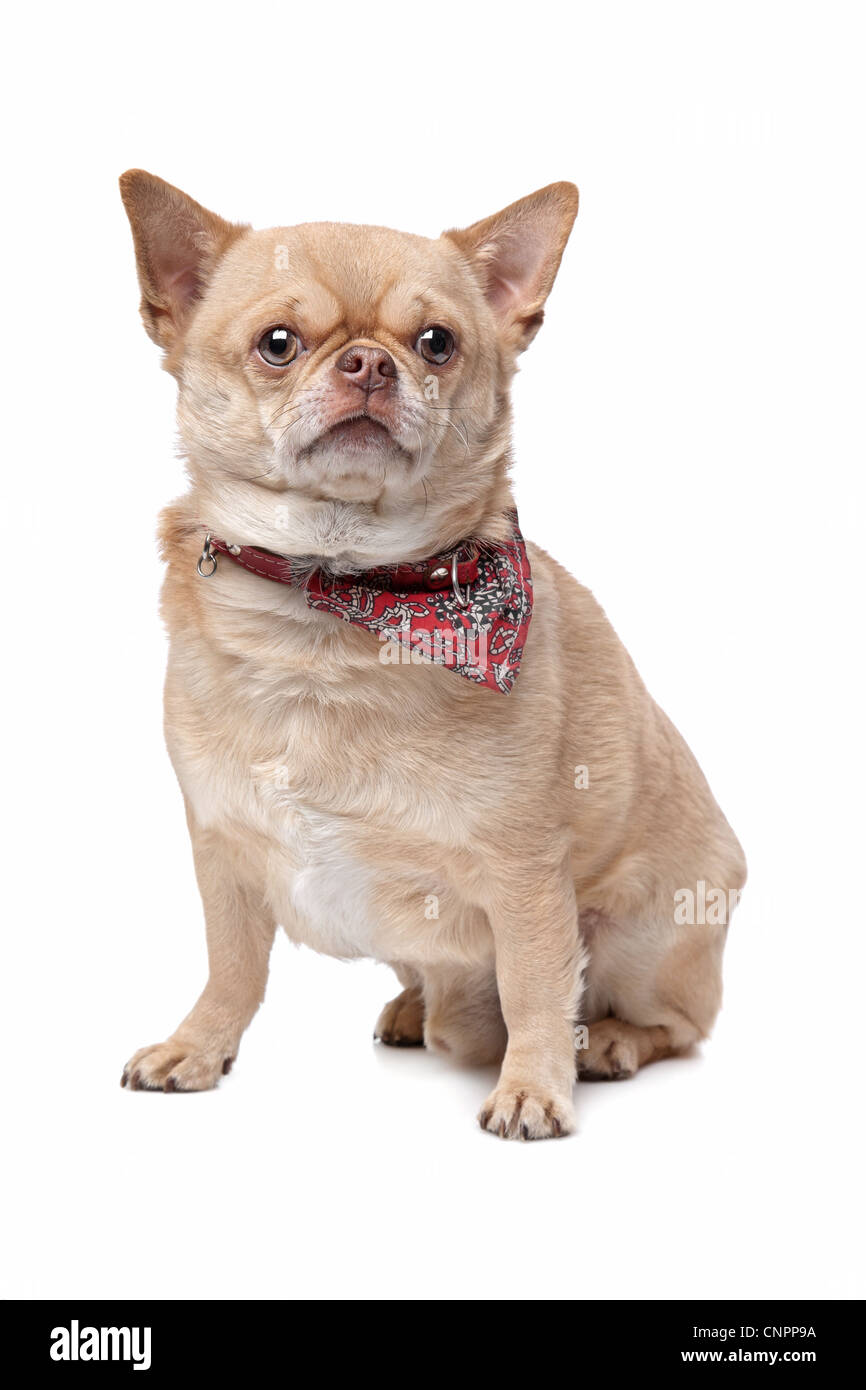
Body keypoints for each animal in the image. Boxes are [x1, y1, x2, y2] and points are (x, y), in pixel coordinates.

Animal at [118, 170, 750, 1139]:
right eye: (277, 345)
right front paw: (199, 1045)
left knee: (670, 1022)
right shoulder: (222, 853)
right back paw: (417, 1009)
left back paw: (604, 1043)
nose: (371, 363)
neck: (334, 597)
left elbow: (534, 986)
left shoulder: (526, 879)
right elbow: (233, 967)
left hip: (643, 927)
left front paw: (532, 1088)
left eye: (436, 344)